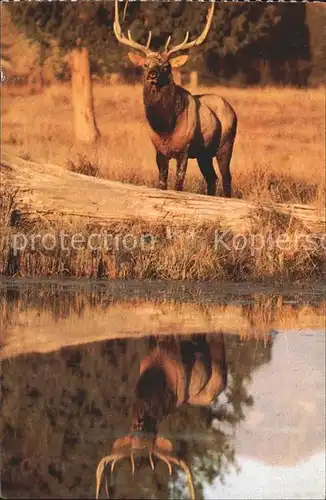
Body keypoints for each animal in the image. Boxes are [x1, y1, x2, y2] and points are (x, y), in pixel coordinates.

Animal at [114, 0, 237, 198]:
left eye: (167, 66)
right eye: (145, 65)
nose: (152, 75)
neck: (166, 128)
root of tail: (231, 109)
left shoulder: (184, 150)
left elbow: (178, 185)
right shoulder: (159, 151)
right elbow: (162, 183)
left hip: (226, 144)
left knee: (226, 178)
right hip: (204, 154)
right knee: (212, 178)